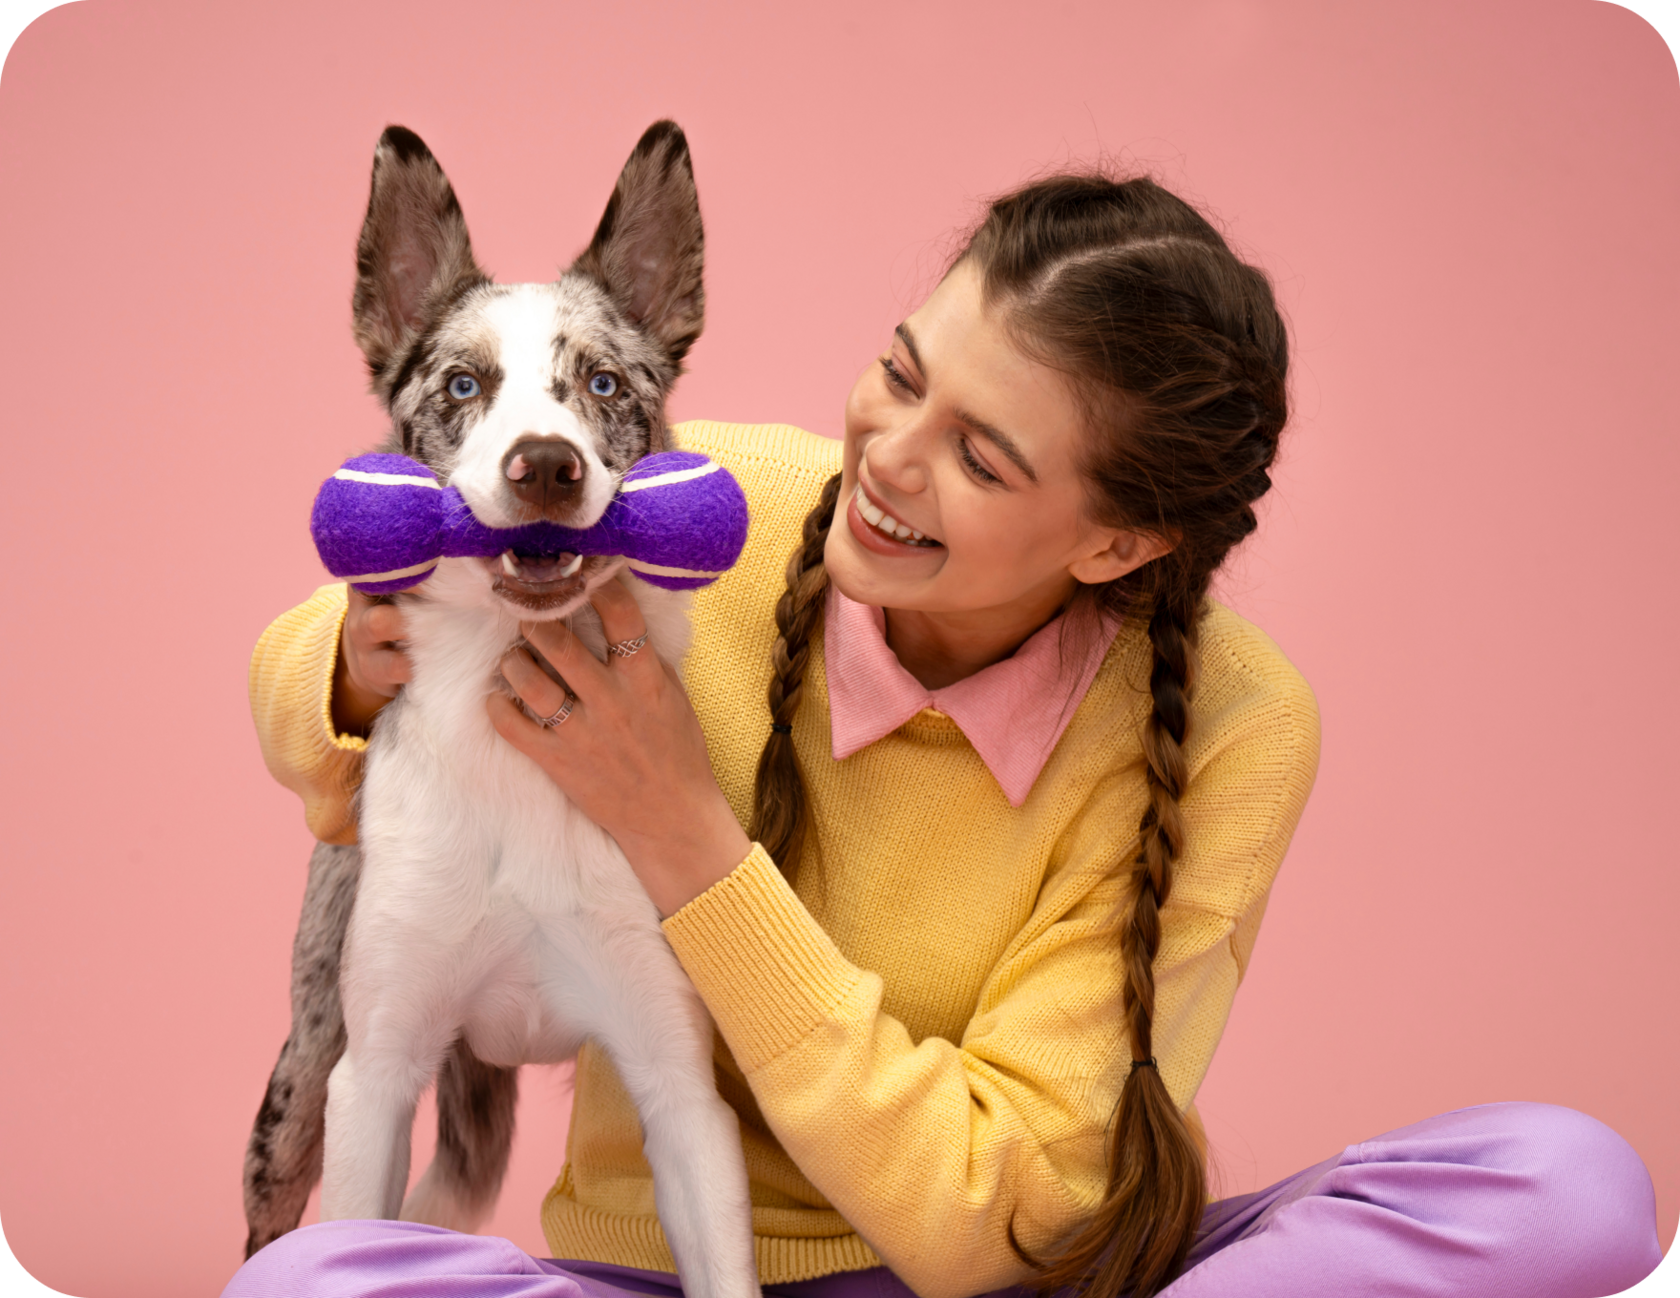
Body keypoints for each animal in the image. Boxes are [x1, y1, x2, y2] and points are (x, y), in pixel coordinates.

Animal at [241, 122, 759, 1298]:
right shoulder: (376, 1073)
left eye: (603, 382)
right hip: (300, 1084)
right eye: (464, 382)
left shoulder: (679, 1087)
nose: (547, 467)